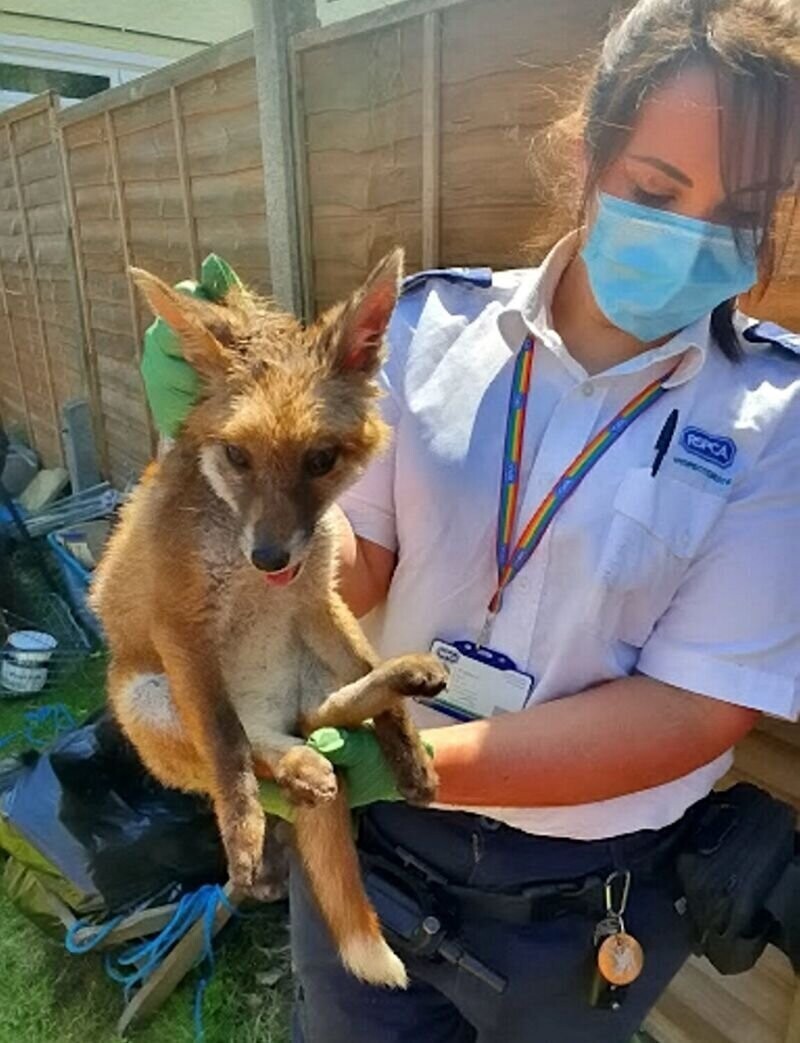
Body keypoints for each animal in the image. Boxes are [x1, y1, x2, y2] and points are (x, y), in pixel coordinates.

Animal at [92, 250, 450, 984]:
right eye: (237, 455)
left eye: (320, 460)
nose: (269, 556)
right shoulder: (182, 629)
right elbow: (227, 751)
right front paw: (244, 840)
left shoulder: (316, 600)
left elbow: (369, 681)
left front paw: (406, 749)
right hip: (147, 696)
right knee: (255, 750)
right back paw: (298, 772)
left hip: (308, 670)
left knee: (332, 711)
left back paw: (399, 682)